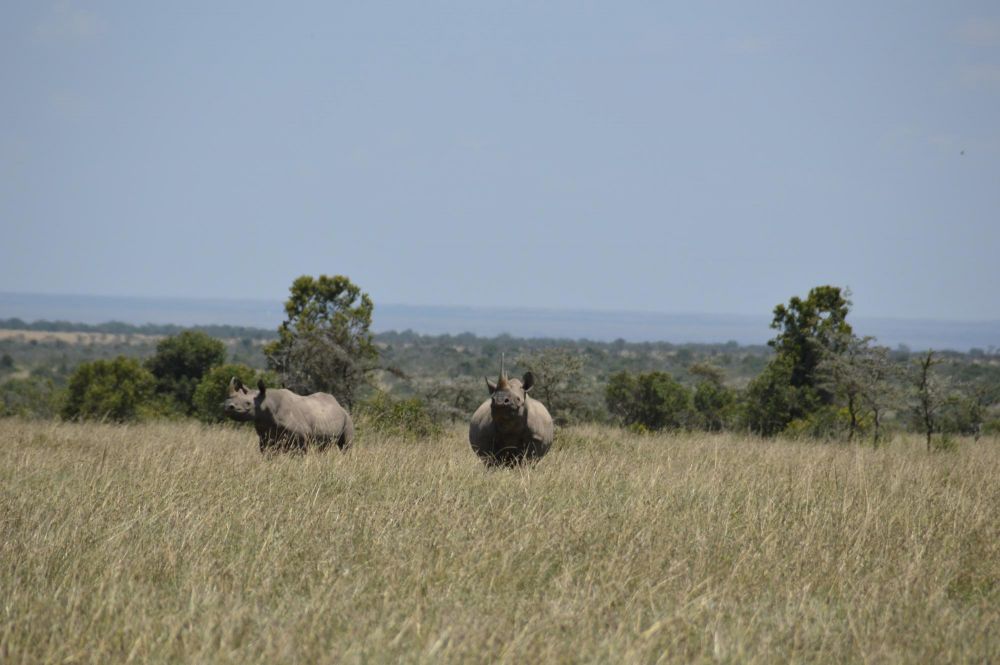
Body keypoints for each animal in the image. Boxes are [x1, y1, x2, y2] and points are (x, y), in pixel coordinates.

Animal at [225, 378, 354, 452]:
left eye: (248, 403)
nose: (228, 407)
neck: (266, 402)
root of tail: (339, 406)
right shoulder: (265, 438)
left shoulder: (301, 437)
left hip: (347, 418)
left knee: (345, 446)